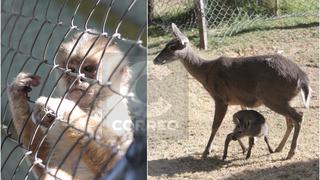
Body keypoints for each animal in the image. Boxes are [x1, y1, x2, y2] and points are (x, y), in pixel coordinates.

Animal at [7, 31, 132, 179]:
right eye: (72, 70)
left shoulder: (111, 106)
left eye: (88, 68)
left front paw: (62, 108)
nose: (78, 79)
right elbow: (42, 161)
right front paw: (17, 94)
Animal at [153, 22, 310, 159]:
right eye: (166, 44)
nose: (155, 60)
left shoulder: (220, 98)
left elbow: (215, 125)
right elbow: (238, 121)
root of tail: (302, 77)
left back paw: (290, 152)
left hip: (272, 96)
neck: (206, 73)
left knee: (298, 116)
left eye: (172, 47)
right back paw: (279, 148)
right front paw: (245, 147)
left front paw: (206, 152)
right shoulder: (240, 99)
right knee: (290, 121)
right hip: (280, 98)